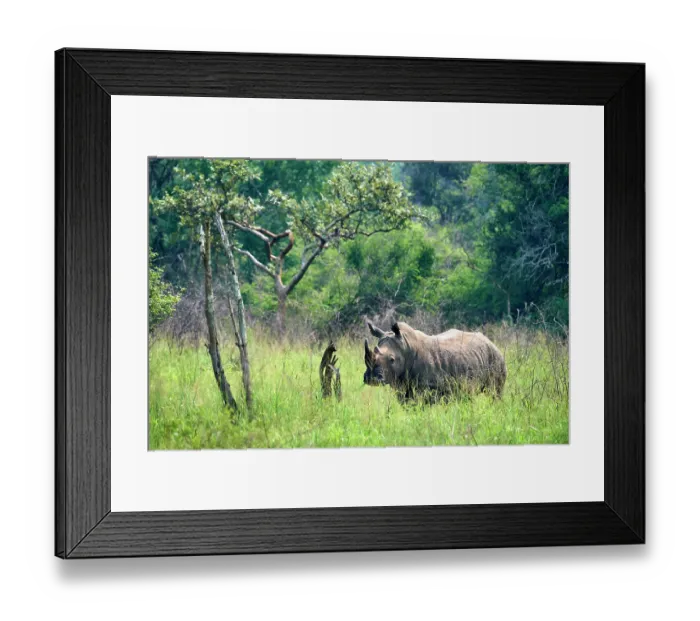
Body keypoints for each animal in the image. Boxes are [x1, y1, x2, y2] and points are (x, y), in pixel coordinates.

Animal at [363, 321, 506, 399]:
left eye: (392, 359)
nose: (371, 378)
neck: (406, 346)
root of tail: (490, 342)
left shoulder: (429, 388)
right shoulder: (402, 385)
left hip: (495, 357)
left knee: (495, 393)